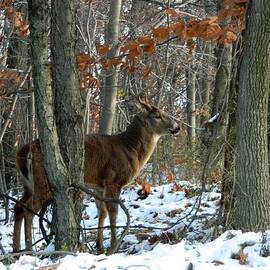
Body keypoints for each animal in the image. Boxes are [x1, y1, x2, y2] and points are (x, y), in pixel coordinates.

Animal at [13, 96, 180, 251]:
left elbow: (102, 212)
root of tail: (24, 151)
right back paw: (29, 248)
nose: (177, 127)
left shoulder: (99, 185)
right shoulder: (113, 180)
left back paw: (16, 248)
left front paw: (99, 245)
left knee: (18, 206)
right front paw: (114, 244)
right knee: (29, 209)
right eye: (157, 115)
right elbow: (113, 211)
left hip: (28, 184)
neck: (131, 149)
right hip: (43, 179)